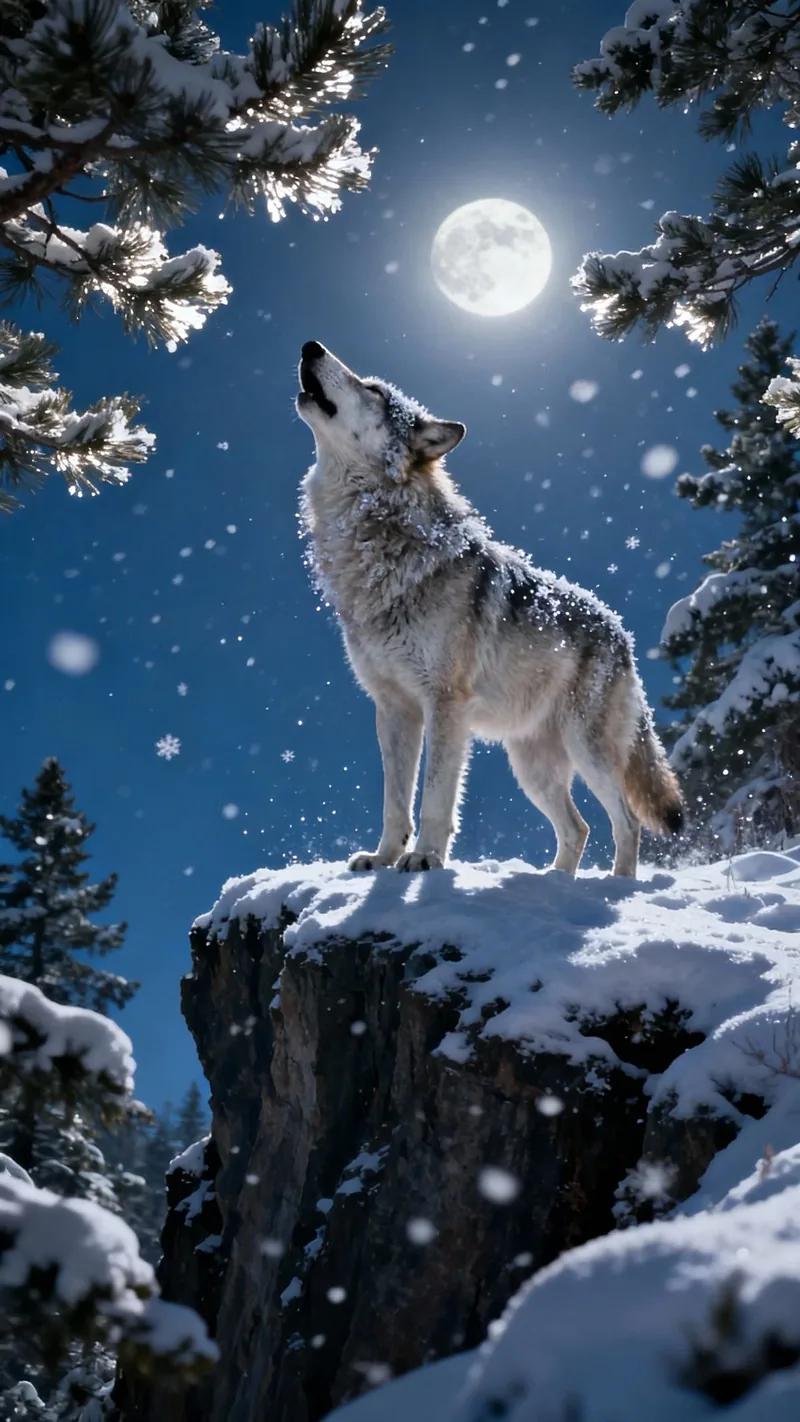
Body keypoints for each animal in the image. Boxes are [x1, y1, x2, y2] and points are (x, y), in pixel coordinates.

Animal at [296, 340, 683, 878]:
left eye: (373, 390)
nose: (311, 346)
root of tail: (620, 631)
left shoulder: (445, 705)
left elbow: (435, 797)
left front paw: (424, 859)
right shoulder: (393, 709)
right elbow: (395, 802)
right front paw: (383, 858)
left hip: (586, 750)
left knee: (625, 822)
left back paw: (617, 887)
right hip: (531, 766)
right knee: (578, 828)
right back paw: (555, 884)